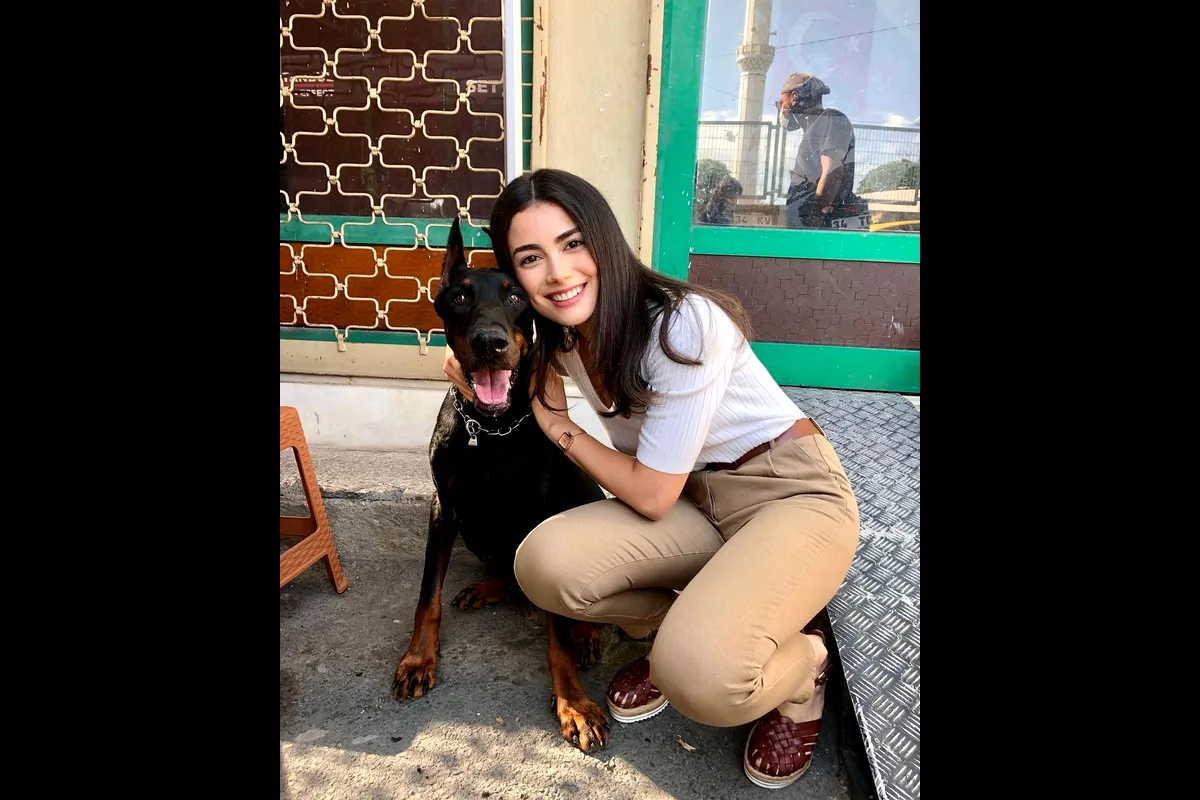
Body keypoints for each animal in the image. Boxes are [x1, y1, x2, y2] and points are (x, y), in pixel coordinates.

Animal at [391, 218, 611, 753]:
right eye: (459, 296)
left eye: (516, 297)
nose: (490, 342)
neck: (491, 428)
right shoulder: (444, 507)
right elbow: (426, 596)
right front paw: (417, 660)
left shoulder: (545, 513)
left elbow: (556, 634)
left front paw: (574, 702)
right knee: (510, 577)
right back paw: (487, 589)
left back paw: (587, 635)